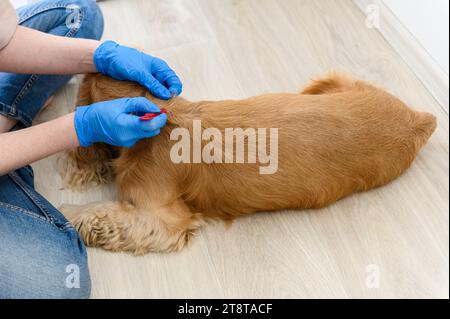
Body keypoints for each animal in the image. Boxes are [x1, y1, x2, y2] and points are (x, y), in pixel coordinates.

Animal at [59, 72, 436, 255]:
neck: (165, 116)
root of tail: (417, 119)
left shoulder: (164, 219)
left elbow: (98, 215)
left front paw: (69, 214)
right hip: (335, 83)